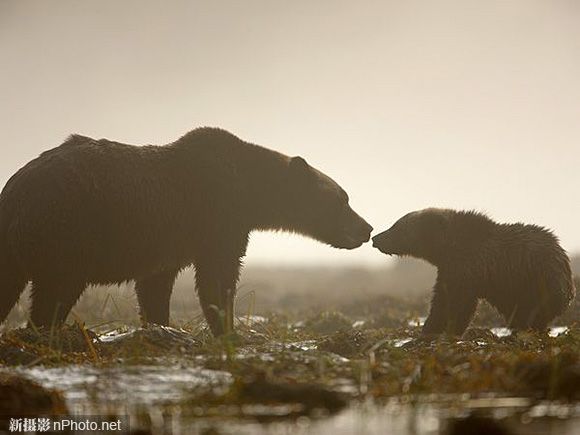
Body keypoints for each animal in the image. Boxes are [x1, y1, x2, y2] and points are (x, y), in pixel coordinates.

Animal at [0, 127, 372, 336]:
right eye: (343, 199)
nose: (366, 228)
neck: (249, 191)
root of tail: (15, 189)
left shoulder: (169, 243)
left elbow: (155, 285)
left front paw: (160, 324)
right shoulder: (216, 217)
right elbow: (217, 277)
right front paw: (228, 330)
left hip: (15, 246)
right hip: (67, 229)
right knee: (56, 290)